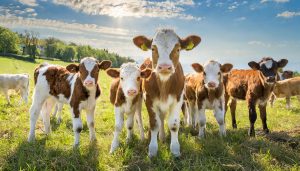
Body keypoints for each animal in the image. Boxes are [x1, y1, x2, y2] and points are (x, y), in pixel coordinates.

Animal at [132, 28, 200, 158]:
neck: (163, 85)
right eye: (153, 48)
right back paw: (155, 137)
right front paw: (153, 149)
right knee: (148, 117)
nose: (164, 67)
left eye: (178, 49)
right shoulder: (149, 99)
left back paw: (162, 137)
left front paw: (175, 149)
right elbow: (154, 124)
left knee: (162, 117)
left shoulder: (178, 99)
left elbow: (173, 125)